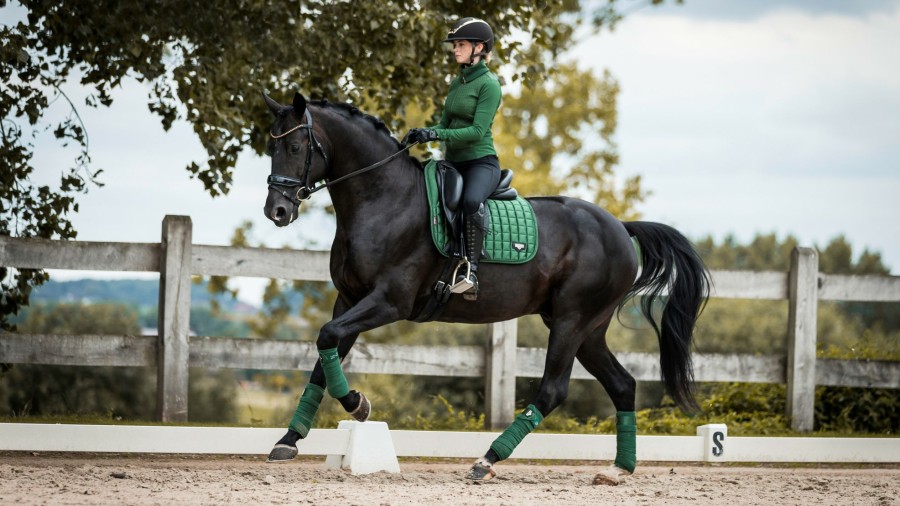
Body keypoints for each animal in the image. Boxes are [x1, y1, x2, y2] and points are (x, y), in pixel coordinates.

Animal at [260, 91, 712, 482]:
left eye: (296, 147)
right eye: (271, 147)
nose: (276, 211)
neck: (384, 199)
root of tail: (619, 225)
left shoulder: (388, 302)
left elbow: (327, 338)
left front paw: (358, 405)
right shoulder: (349, 299)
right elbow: (323, 357)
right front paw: (290, 440)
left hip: (572, 321)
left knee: (553, 390)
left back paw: (487, 460)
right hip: (587, 329)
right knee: (622, 385)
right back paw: (619, 469)